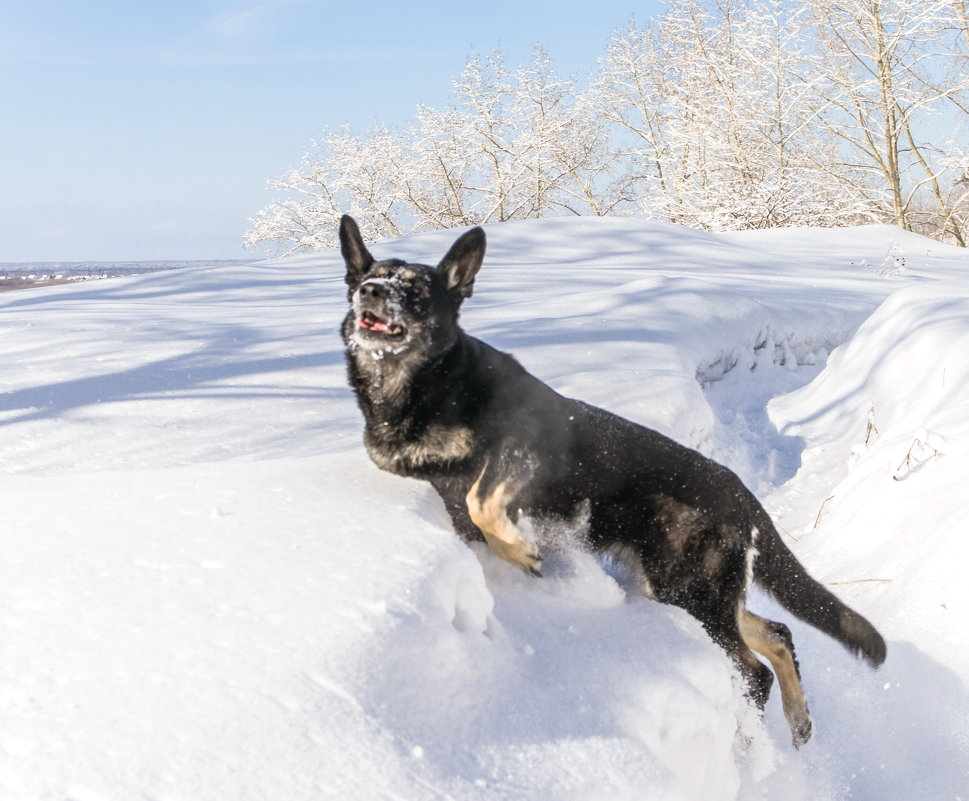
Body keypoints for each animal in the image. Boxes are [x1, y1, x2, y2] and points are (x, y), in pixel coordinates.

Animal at [334, 214, 884, 744]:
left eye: (416, 288)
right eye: (366, 278)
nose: (371, 292)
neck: (423, 387)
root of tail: (741, 492)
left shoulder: (525, 447)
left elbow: (480, 497)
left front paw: (517, 550)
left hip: (691, 590)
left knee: (755, 668)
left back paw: (753, 737)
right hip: (685, 589)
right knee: (776, 634)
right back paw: (799, 721)